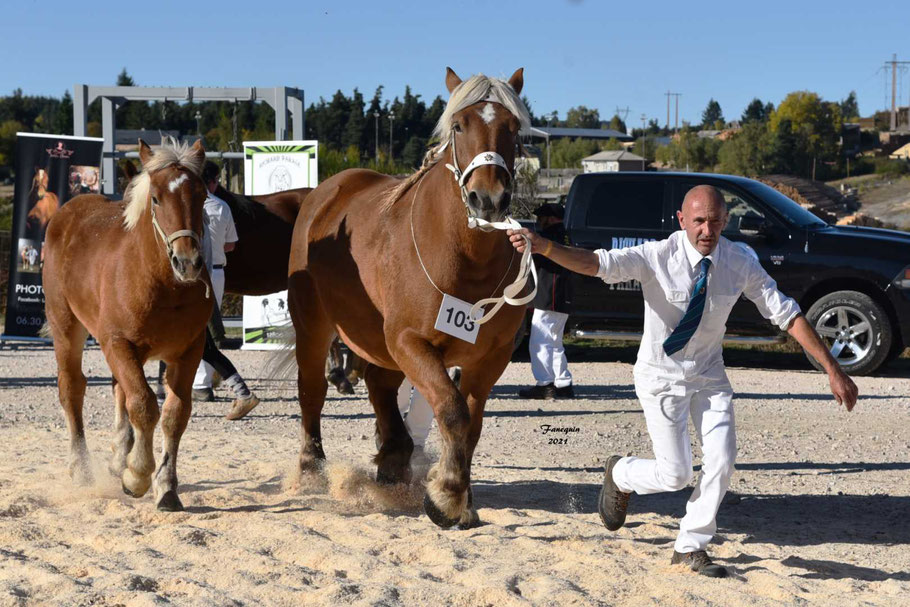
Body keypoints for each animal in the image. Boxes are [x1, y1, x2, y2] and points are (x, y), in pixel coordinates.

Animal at [43, 139, 210, 512]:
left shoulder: (189, 351)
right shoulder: (116, 343)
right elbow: (145, 405)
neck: (161, 283)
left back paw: (119, 457)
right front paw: (137, 476)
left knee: (119, 389)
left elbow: (174, 414)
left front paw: (166, 488)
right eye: (157, 198)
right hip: (66, 327)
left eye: (203, 195)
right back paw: (82, 469)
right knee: (72, 388)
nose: (187, 262)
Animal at [288, 69, 536, 528]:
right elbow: (453, 410)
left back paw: (394, 457)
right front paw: (448, 495)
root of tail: (324, 193)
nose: (488, 199)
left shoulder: (492, 356)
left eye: (513, 128)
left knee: (379, 385)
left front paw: (458, 494)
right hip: (314, 327)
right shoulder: (409, 341)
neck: (464, 257)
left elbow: (471, 423)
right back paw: (312, 466)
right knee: (312, 389)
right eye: (459, 126)